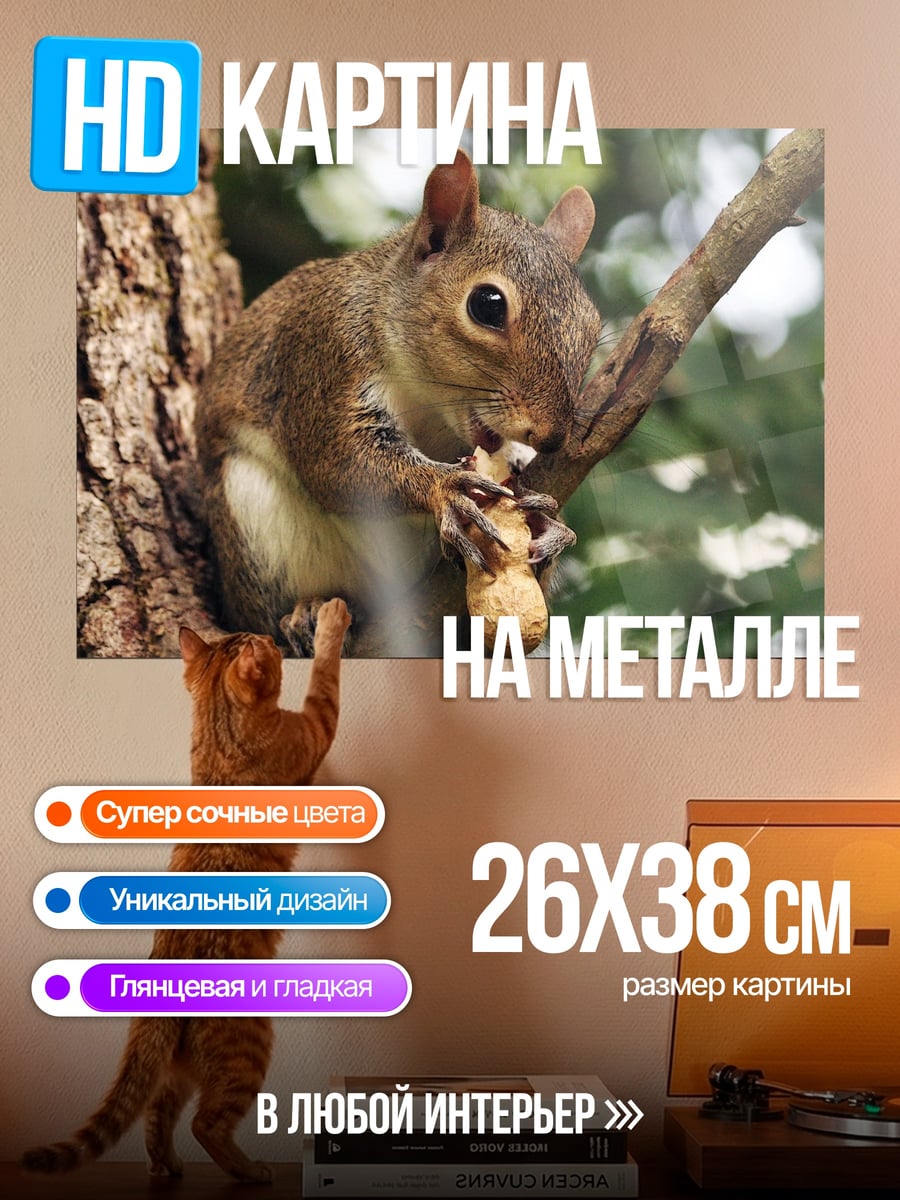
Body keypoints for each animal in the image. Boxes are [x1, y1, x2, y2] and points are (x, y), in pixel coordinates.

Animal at [195, 150, 602, 654]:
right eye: (487, 304)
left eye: (593, 324)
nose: (550, 437)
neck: (429, 404)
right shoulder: (324, 353)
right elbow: (338, 461)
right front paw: (445, 489)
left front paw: (549, 528)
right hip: (254, 523)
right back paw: (306, 613)